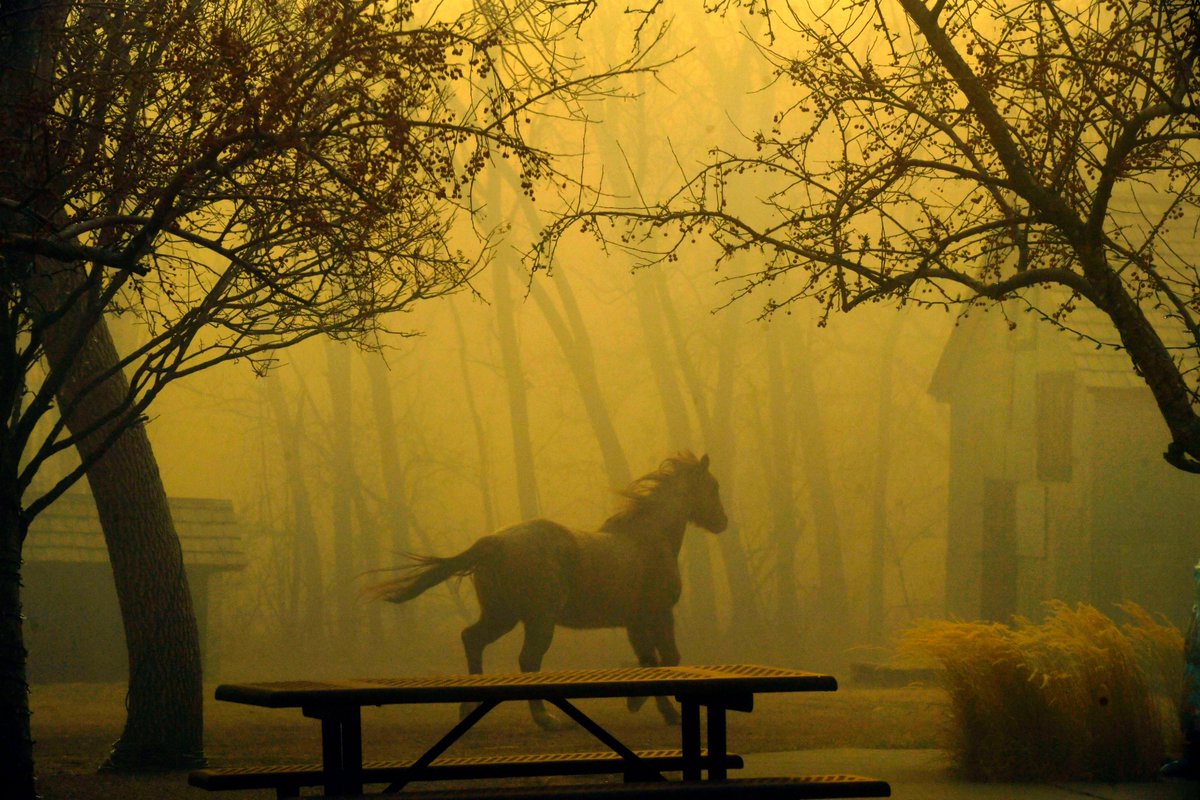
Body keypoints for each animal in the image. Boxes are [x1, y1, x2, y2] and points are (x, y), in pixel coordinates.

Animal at [367, 452, 728, 729]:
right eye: (713, 486)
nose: (722, 522)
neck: (648, 539)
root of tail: (495, 542)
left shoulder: (635, 622)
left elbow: (648, 661)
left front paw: (648, 706)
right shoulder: (659, 615)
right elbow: (667, 658)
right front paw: (665, 712)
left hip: (503, 615)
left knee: (473, 639)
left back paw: (469, 707)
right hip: (538, 620)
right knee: (528, 660)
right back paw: (545, 719)